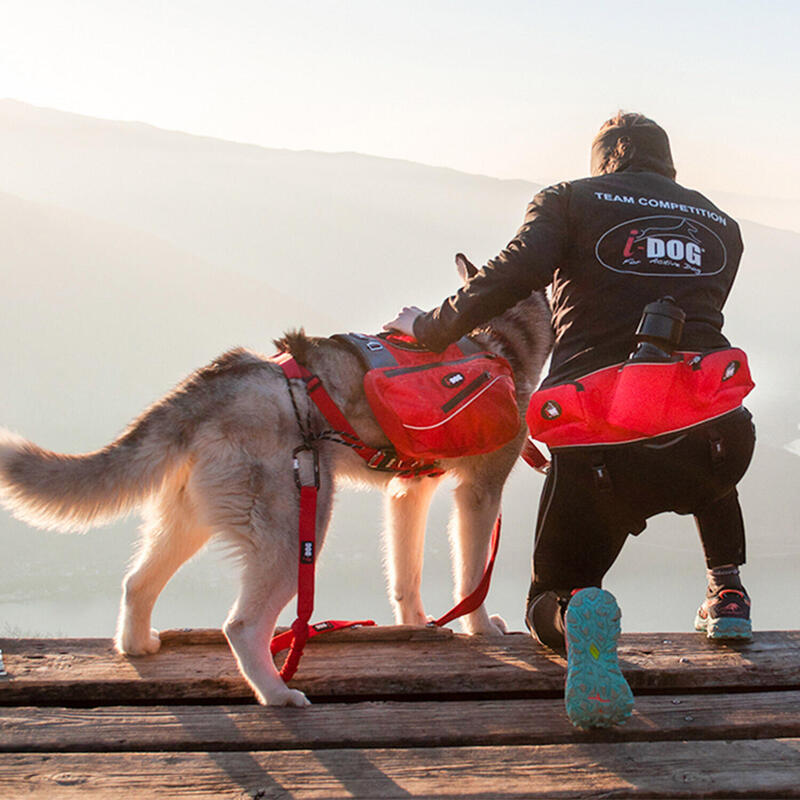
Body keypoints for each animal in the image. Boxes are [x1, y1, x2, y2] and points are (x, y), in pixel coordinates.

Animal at [0, 256, 552, 708]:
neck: (497, 339)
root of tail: (221, 378)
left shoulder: (407, 491)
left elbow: (406, 576)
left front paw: (414, 626)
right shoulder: (478, 492)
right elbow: (473, 576)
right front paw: (480, 629)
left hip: (190, 521)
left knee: (136, 584)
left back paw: (139, 646)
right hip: (296, 533)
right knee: (242, 627)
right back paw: (276, 692)